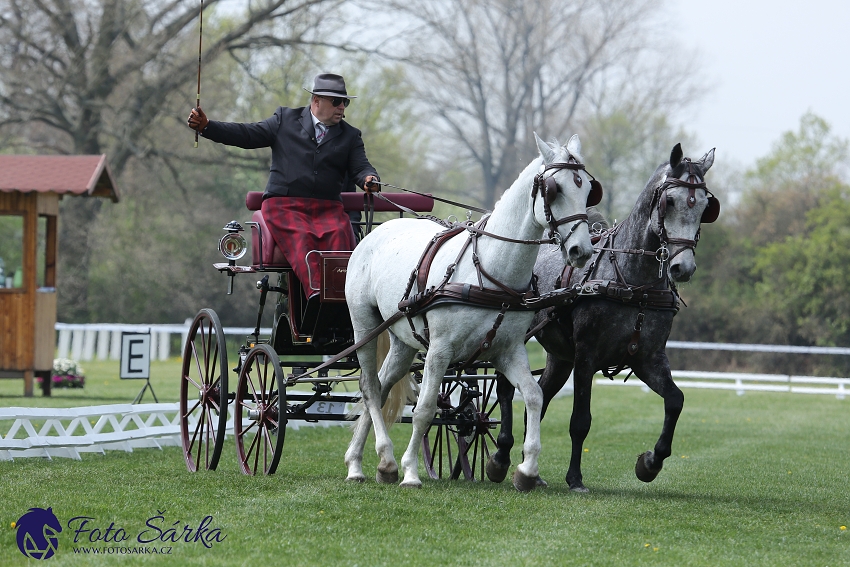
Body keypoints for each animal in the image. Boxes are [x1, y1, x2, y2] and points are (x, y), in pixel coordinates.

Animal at [342, 134, 592, 492]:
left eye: (588, 189)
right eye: (554, 189)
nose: (581, 250)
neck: (489, 269)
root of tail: (378, 231)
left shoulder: (508, 351)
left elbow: (534, 396)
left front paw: (527, 469)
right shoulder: (439, 351)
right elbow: (425, 409)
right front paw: (411, 471)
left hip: (403, 340)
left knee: (383, 384)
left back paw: (370, 462)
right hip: (364, 325)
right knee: (370, 388)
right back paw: (376, 462)